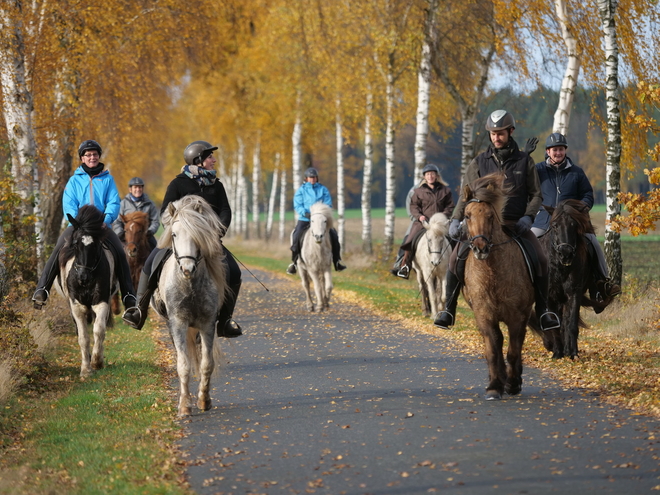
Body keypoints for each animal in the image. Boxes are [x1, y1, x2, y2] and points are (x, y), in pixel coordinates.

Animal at [56, 205, 117, 380]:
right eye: (76, 244)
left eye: (96, 245)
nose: (83, 277)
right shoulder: (76, 306)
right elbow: (83, 337)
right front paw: (85, 369)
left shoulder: (101, 302)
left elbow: (99, 330)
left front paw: (97, 362)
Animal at [151, 196, 228, 416]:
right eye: (174, 234)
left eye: (198, 235)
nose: (187, 268)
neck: (190, 284)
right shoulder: (178, 324)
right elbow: (183, 365)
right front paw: (185, 406)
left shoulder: (207, 324)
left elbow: (206, 364)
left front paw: (204, 400)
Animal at [462, 174, 532, 404]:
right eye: (467, 216)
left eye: (490, 216)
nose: (480, 248)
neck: (492, 273)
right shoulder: (484, 313)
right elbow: (493, 349)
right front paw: (494, 386)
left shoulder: (517, 316)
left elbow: (513, 350)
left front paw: (512, 383)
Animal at [528, 200, 596, 358]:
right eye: (554, 225)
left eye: (574, 225)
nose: (566, 253)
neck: (559, 265)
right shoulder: (550, 295)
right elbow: (553, 323)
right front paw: (557, 352)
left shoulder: (574, 292)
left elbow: (571, 324)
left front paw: (573, 353)